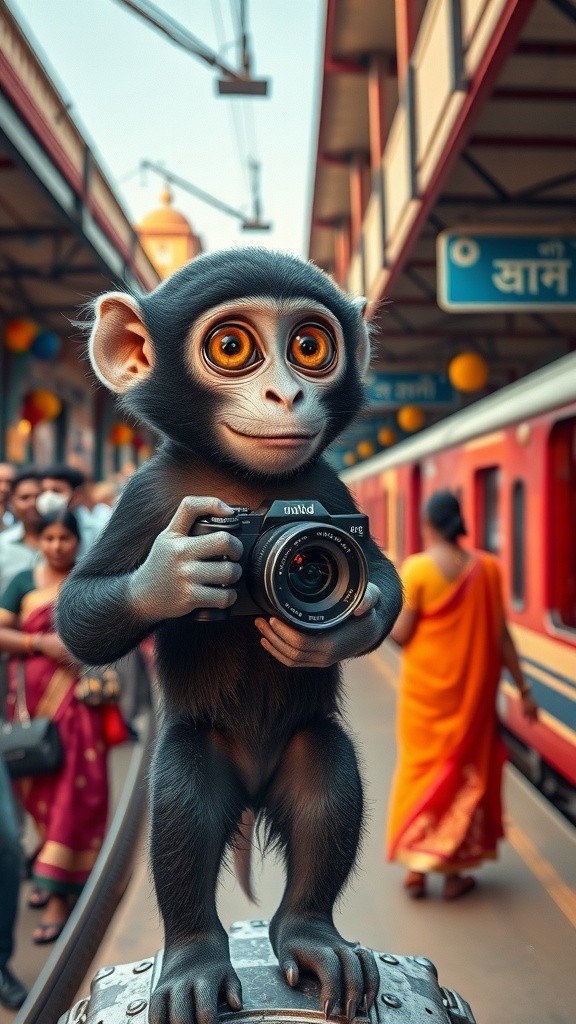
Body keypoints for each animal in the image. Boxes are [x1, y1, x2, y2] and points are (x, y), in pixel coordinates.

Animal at [57, 248, 402, 1024]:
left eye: (311, 346)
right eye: (233, 347)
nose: (286, 393)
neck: (249, 488)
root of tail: (252, 788)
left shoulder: (332, 496)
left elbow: (382, 577)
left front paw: (330, 635)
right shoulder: (146, 496)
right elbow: (79, 613)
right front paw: (174, 577)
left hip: (302, 756)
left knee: (327, 780)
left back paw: (311, 936)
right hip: (203, 753)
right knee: (182, 802)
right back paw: (193, 963)